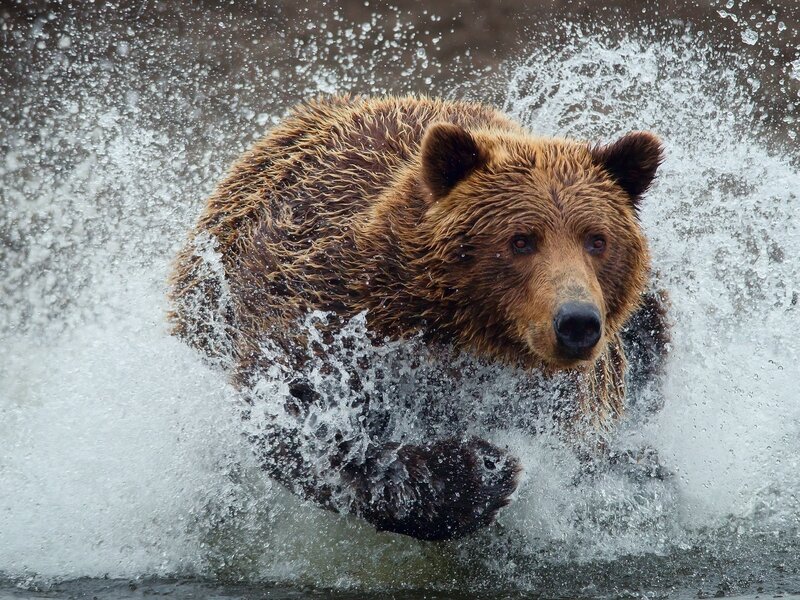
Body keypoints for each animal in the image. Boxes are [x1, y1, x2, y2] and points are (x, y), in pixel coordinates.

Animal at [169, 95, 668, 542]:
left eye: (597, 239)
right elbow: (303, 421)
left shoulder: (564, 395)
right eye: (521, 240)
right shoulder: (326, 310)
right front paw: (478, 470)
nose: (577, 322)